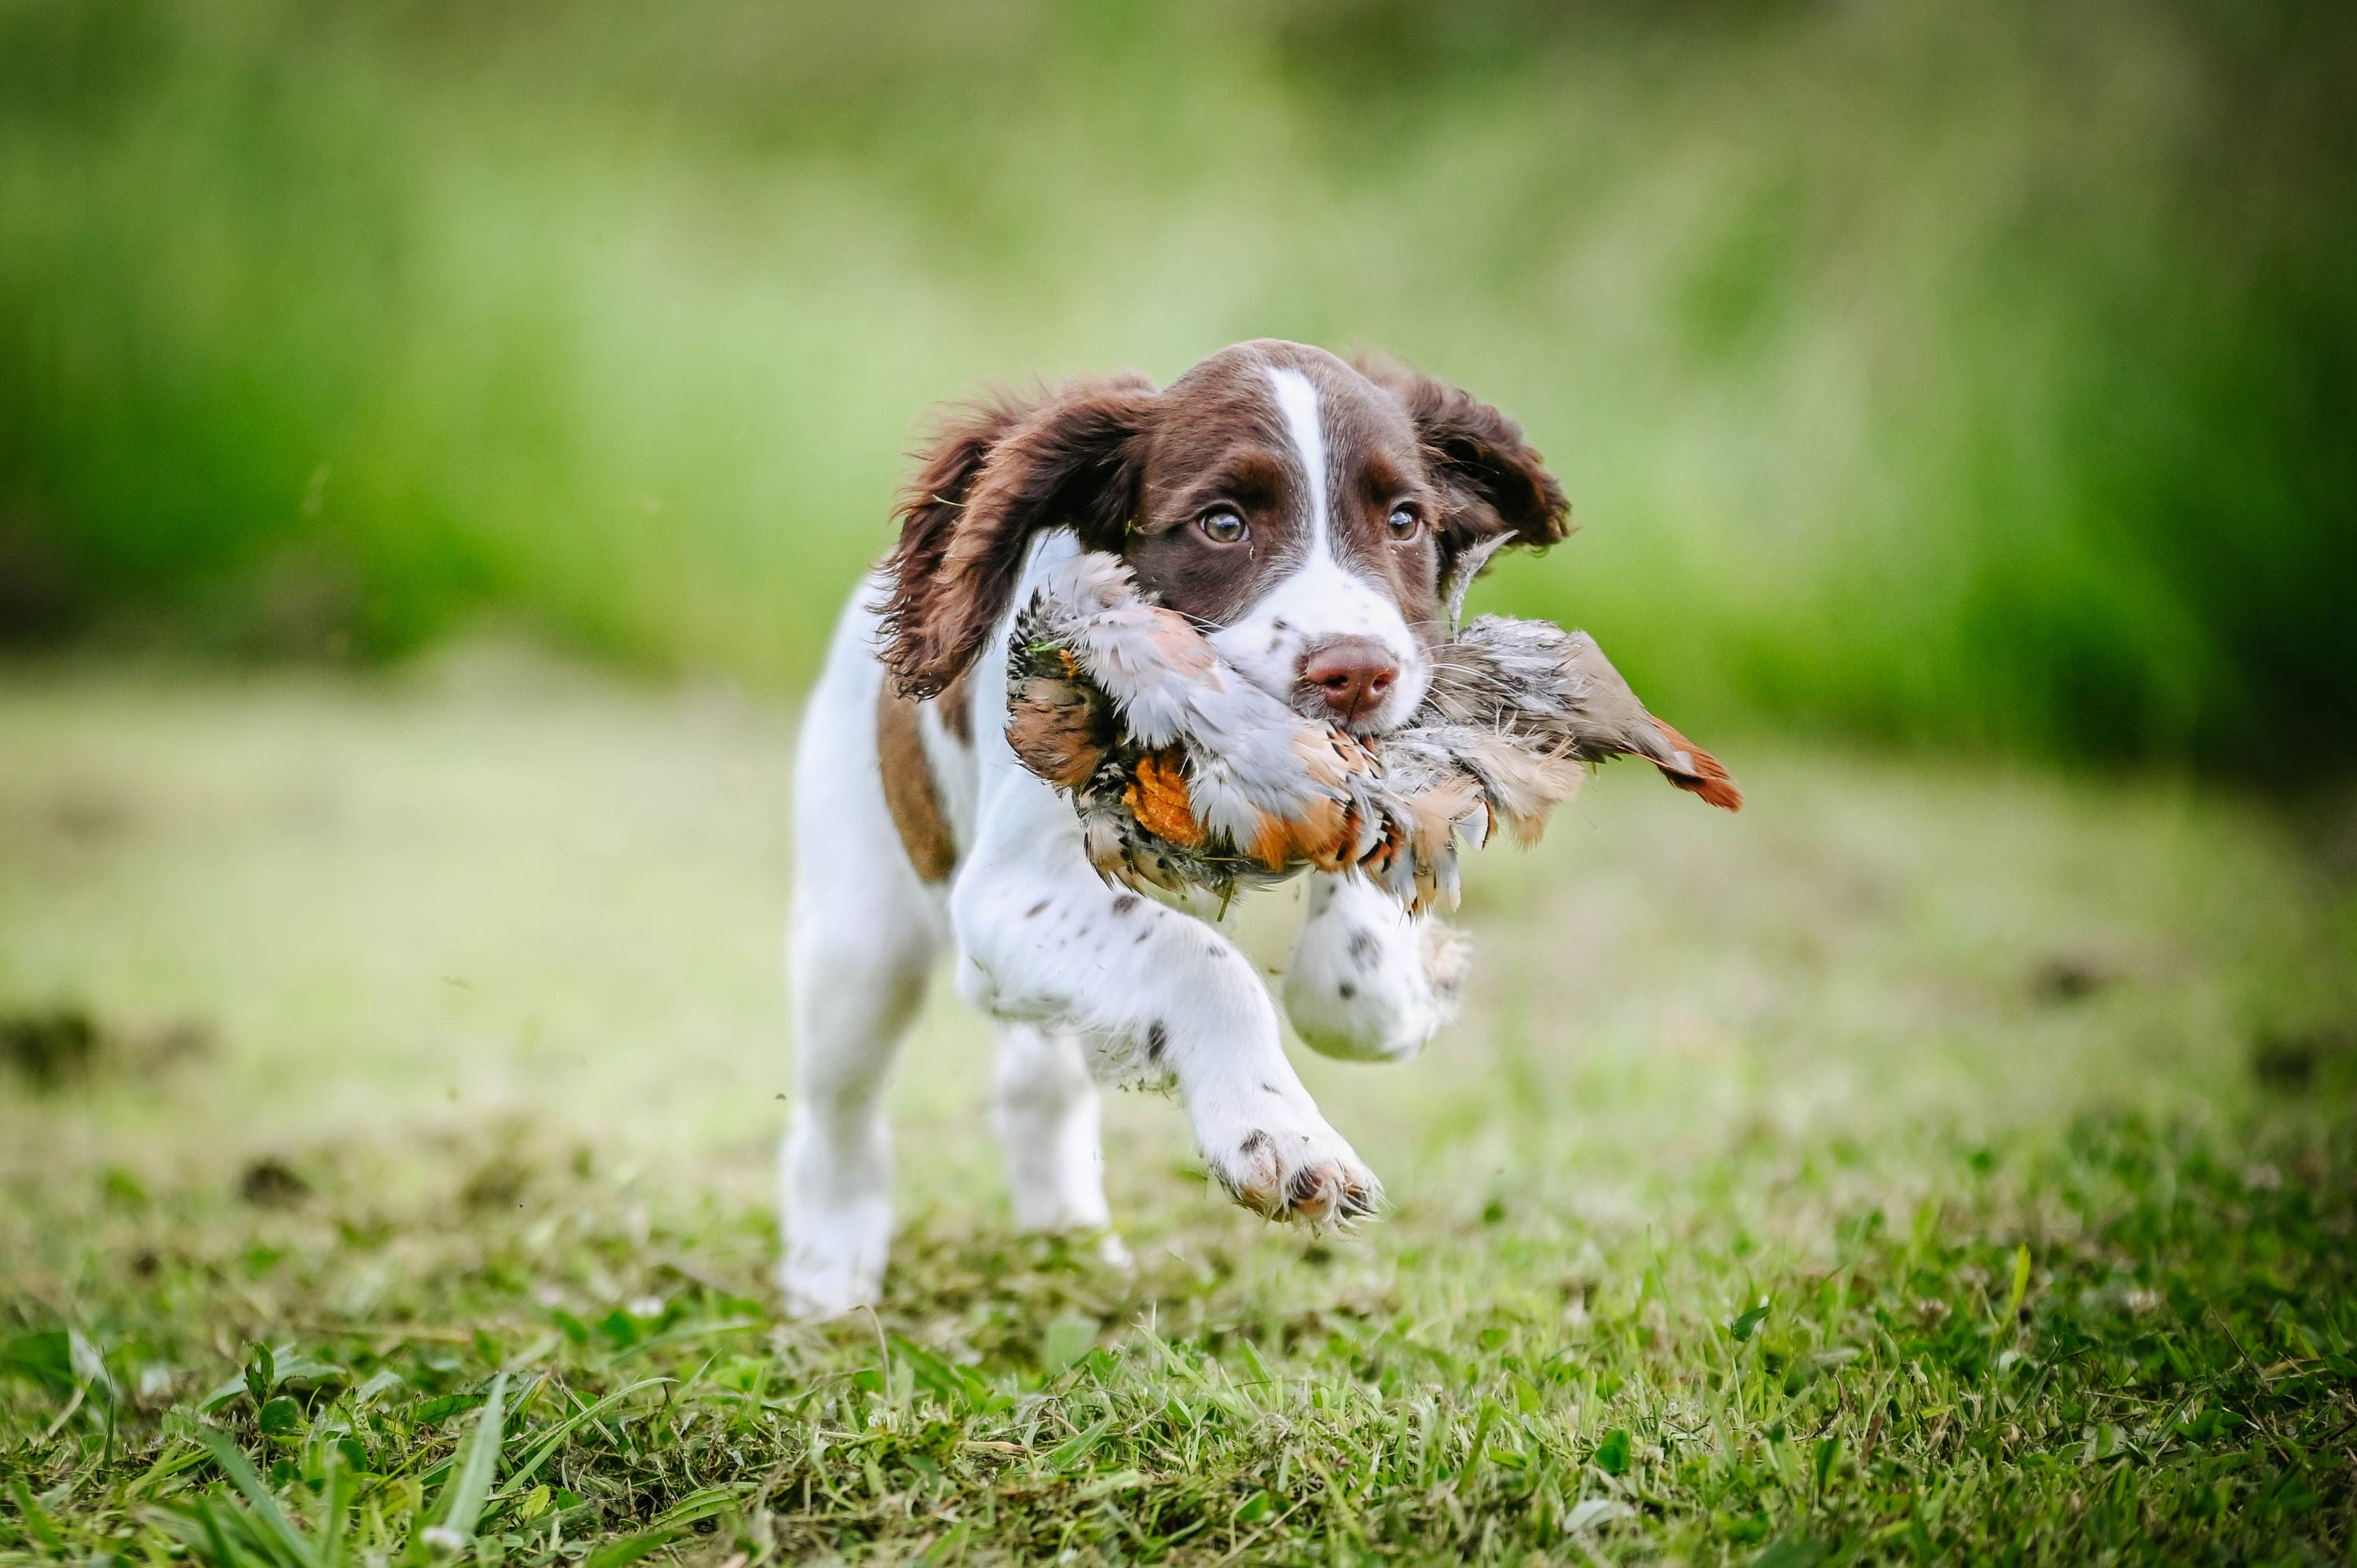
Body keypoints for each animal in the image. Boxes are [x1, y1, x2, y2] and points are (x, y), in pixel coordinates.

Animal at [783, 337, 1574, 1310]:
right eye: (1222, 524)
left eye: (1404, 521)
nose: (1358, 673)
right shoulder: (1008, 893)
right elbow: (1202, 962)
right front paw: (1284, 1140)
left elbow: (1343, 970)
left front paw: (1410, 984)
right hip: (862, 938)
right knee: (840, 1109)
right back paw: (830, 1274)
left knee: (1039, 1082)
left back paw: (1071, 1244)